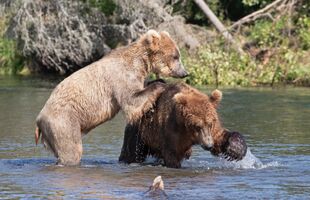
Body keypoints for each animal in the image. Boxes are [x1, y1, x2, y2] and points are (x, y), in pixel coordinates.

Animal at [35, 28, 188, 165]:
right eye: (176, 56)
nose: (185, 73)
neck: (140, 63)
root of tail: (39, 118)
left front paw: (159, 81)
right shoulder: (121, 76)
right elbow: (131, 100)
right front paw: (160, 84)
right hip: (64, 120)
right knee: (71, 148)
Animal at [118, 82, 247, 168]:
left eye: (210, 123)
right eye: (197, 125)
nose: (208, 145)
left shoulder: (211, 129)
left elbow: (220, 136)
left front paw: (235, 150)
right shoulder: (172, 132)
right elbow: (172, 154)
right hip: (140, 132)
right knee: (131, 152)